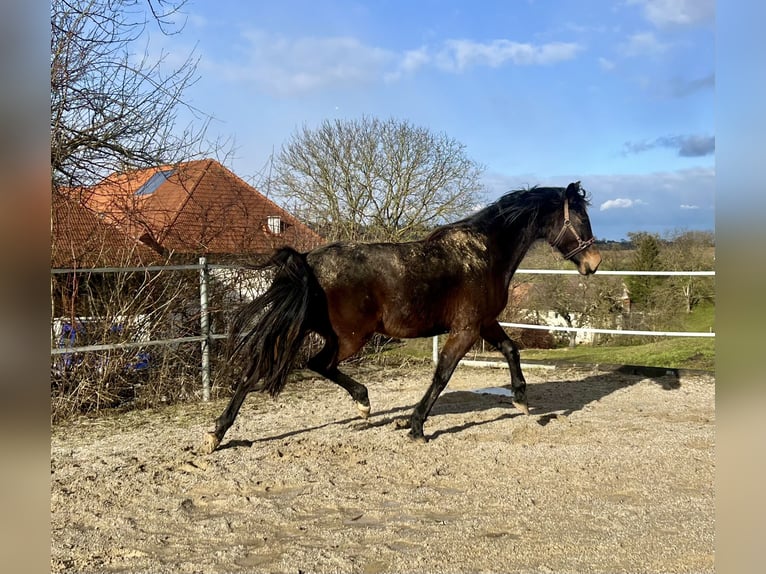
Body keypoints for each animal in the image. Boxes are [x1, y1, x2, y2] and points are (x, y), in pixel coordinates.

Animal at [201, 181, 604, 454]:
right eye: (580, 217)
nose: (594, 263)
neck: (486, 252)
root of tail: (307, 261)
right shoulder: (467, 329)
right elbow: (442, 375)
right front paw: (415, 426)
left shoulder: (485, 323)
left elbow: (511, 350)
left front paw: (520, 398)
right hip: (349, 337)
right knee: (313, 364)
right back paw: (362, 403)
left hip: (308, 330)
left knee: (258, 371)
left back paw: (218, 433)